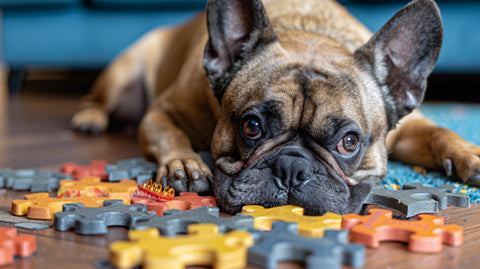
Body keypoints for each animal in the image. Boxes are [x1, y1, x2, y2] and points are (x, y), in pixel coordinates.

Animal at [70, 0, 480, 214]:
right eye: (251, 126)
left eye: (349, 142)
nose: (291, 167)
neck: (311, 34)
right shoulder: (161, 112)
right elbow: (169, 134)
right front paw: (184, 165)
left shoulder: (408, 129)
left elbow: (440, 130)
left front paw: (470, 155)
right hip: (124, 70)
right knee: (98, 98)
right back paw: (89, 116)